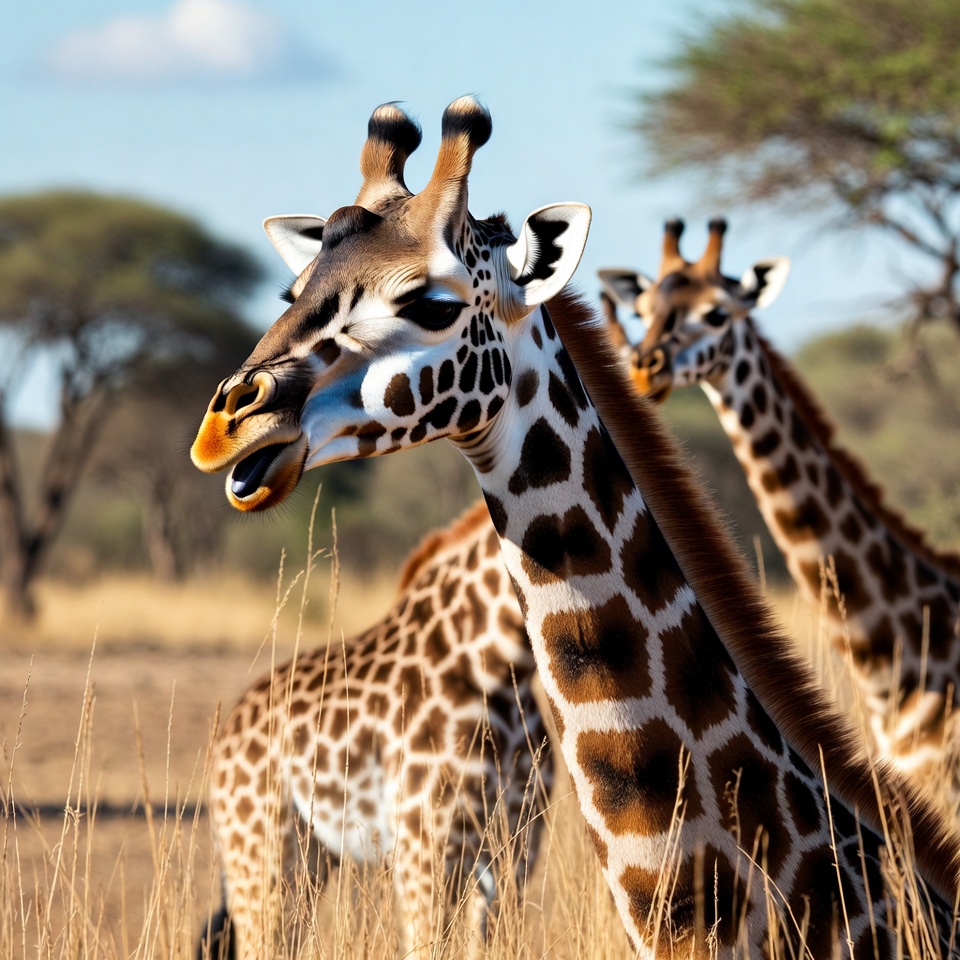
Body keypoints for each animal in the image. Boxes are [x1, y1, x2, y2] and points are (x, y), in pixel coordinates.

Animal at [197, 501, 549, 960]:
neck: (498, 669)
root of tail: (231, 727)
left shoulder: (517, 850)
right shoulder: (426, 849)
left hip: (310, 862)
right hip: (264, 861)